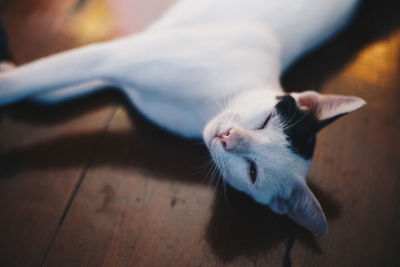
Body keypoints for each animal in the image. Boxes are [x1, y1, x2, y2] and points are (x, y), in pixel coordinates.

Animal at [0, 0, 364, 234]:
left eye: (252, 171)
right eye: (264, 121)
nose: (228, 137)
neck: (199, 110)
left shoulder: (126, 64)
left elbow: (52, 82)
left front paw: (12, 77)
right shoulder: (126, 53)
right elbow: (50, 75)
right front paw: (13, 75)